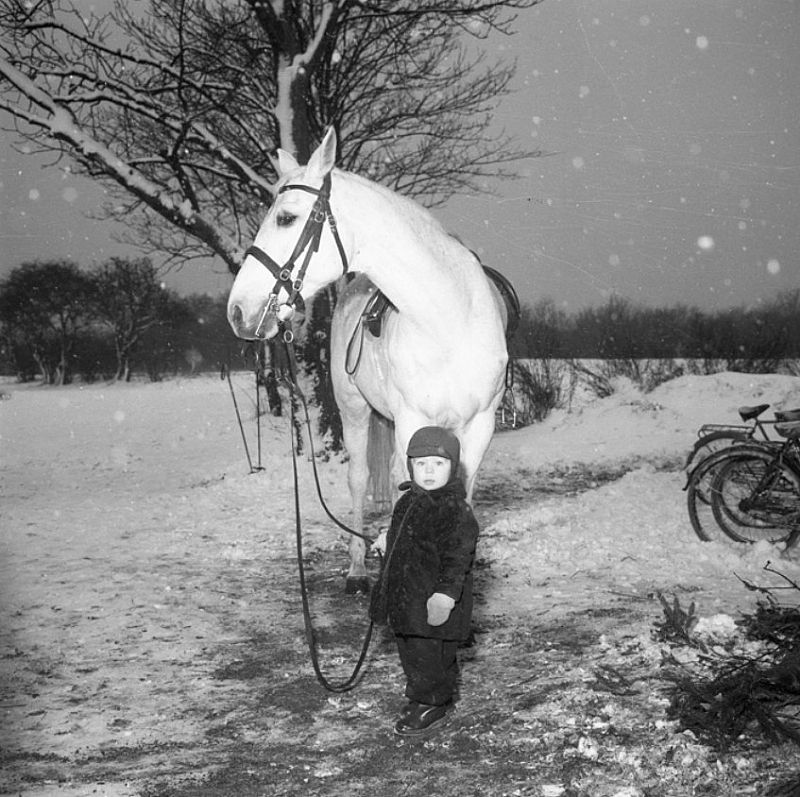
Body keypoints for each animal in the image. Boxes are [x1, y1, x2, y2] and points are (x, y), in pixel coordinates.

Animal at [228, 129, 510, 592]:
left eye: (286, 218)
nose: (237, 311)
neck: (449, 320)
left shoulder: (480, 425)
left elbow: (462, 490)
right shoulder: (412, 421)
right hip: (355, 411)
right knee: (360, 479)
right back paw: (359, 568)